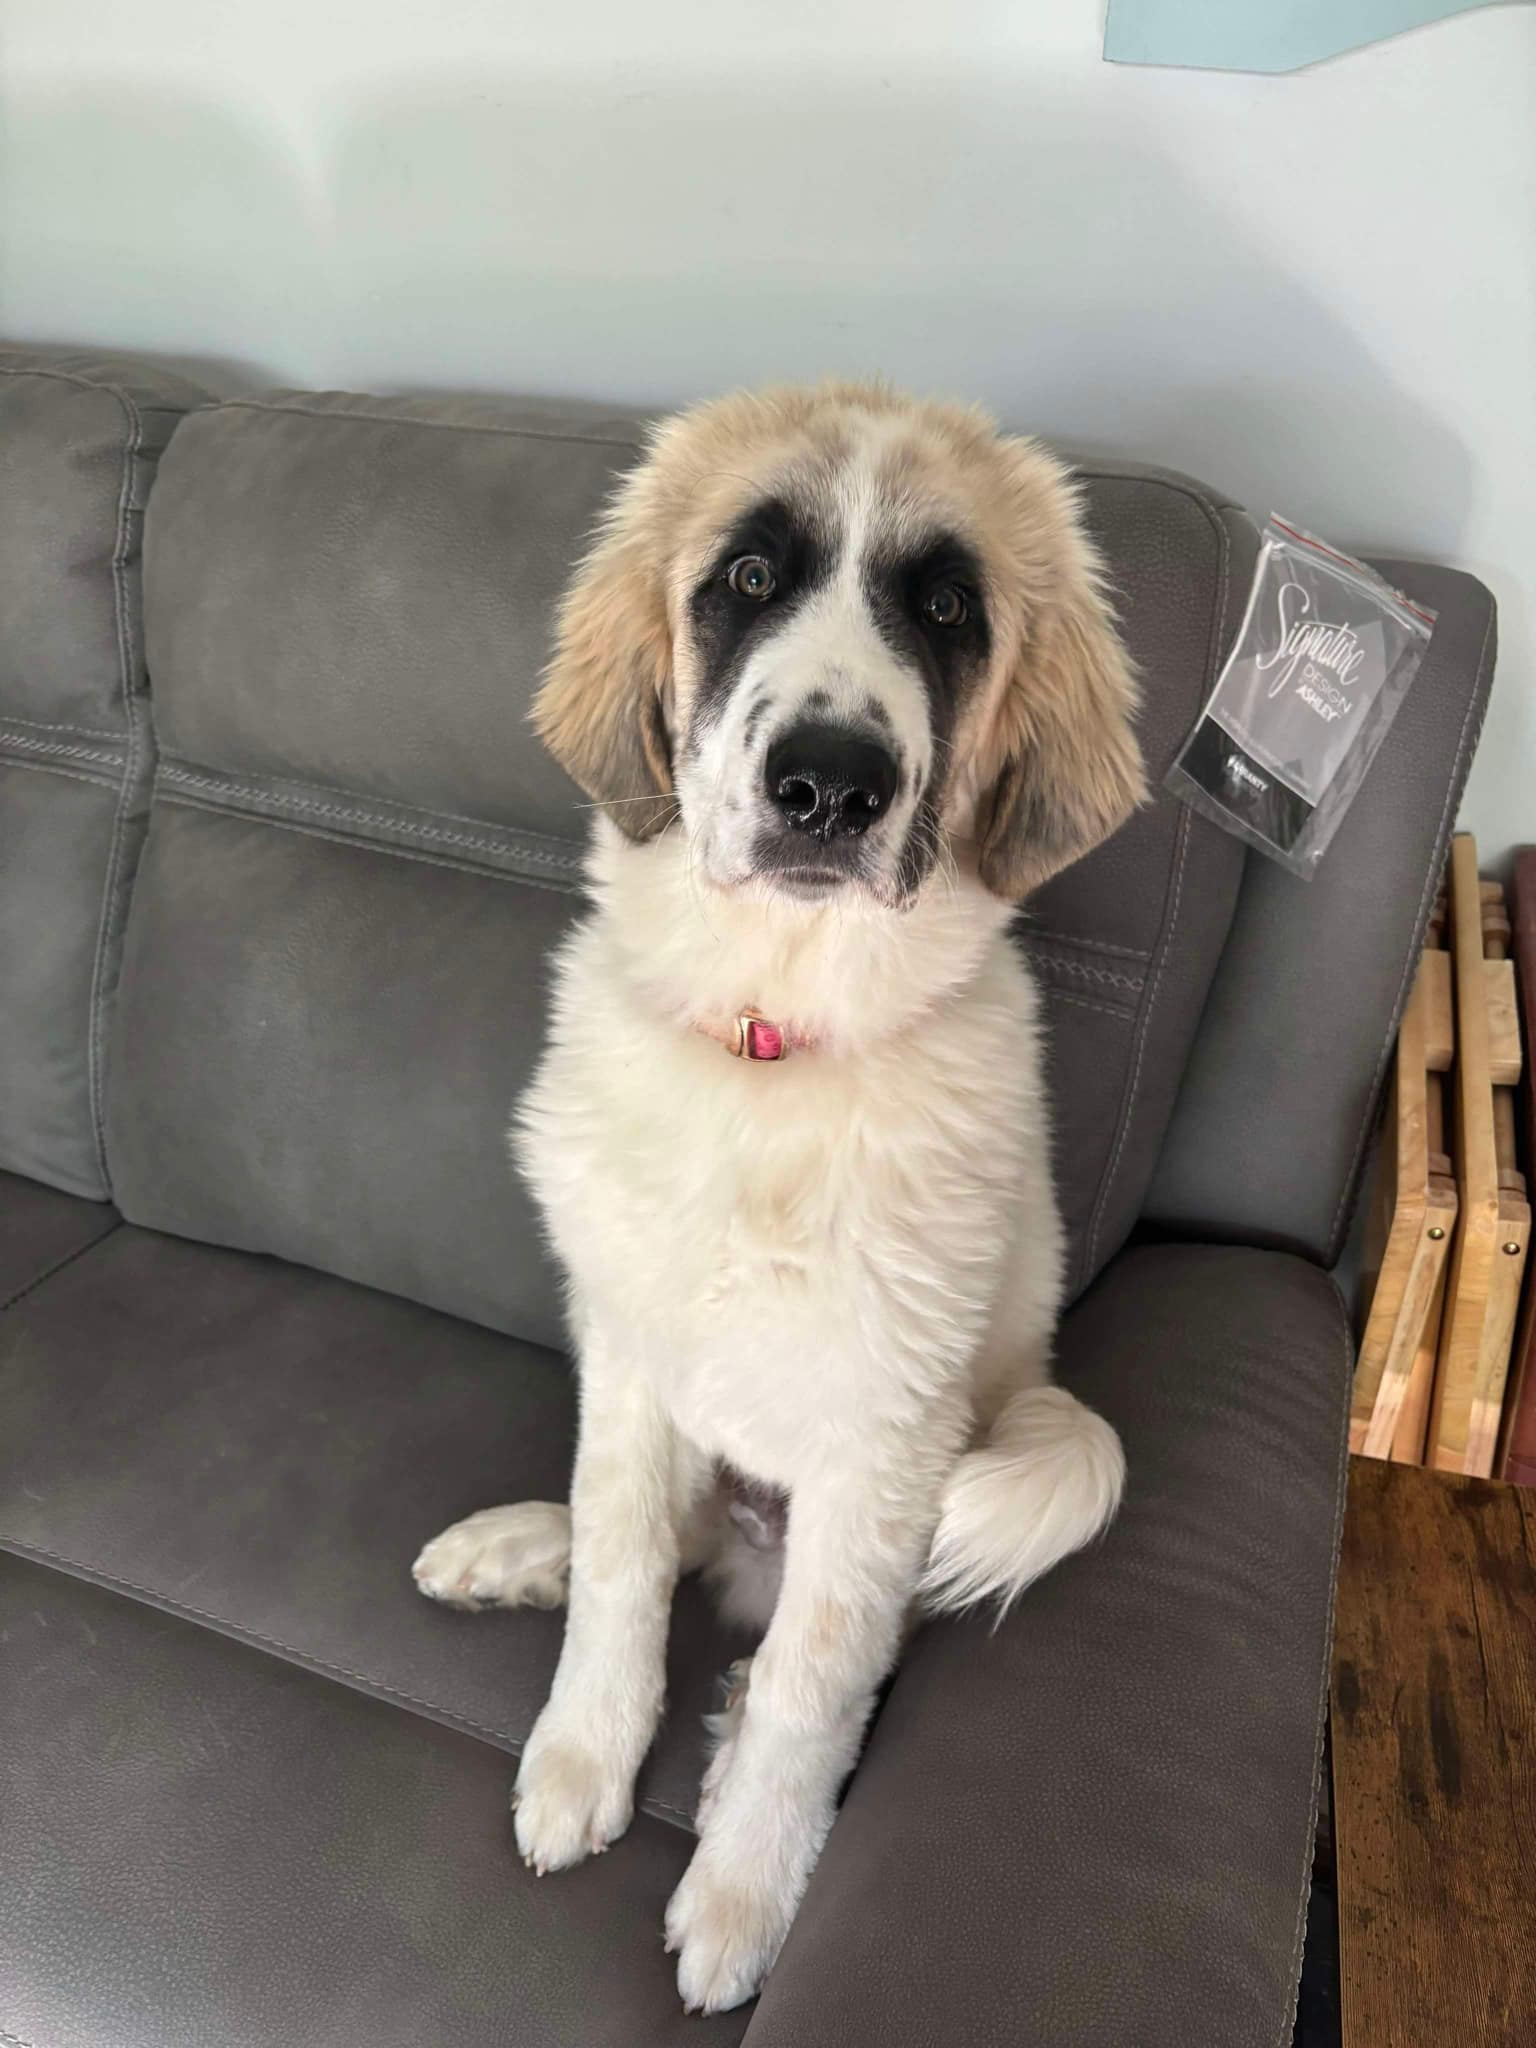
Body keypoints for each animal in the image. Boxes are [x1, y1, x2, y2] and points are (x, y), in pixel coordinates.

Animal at [415, 385, 1146, 2015]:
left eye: (946, 609)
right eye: (748, 579)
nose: (829, 783)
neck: (773, 1050)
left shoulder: (883, 1447)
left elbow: (819, 1692)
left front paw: (742, 1894)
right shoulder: (630, 1355)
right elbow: (623, 1570)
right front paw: (580, 1758)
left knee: (821, 1648)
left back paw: (732, 1711)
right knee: (644, 1532)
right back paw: (514, 1550)